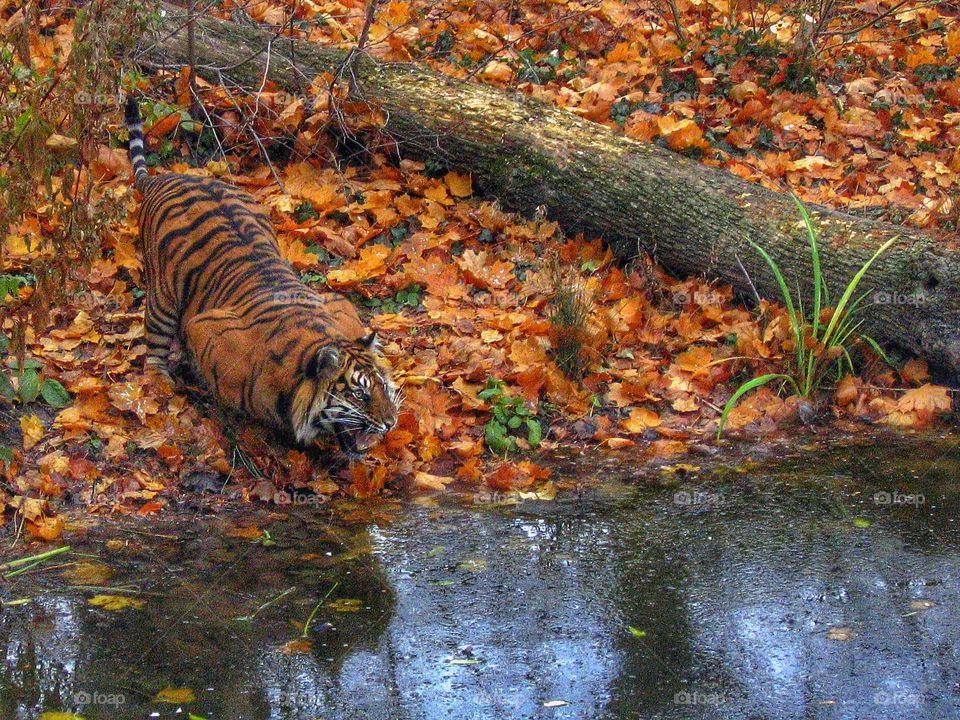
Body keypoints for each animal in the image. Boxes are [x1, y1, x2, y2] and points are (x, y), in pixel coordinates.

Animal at [124, 96, 399, 457]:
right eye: (359, 395)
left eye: (383, 388)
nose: (391, 423)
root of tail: (166, 178)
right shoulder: (207, 328)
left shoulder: (339, 305)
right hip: (163, 296)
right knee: (155, 344)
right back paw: (160, 380)